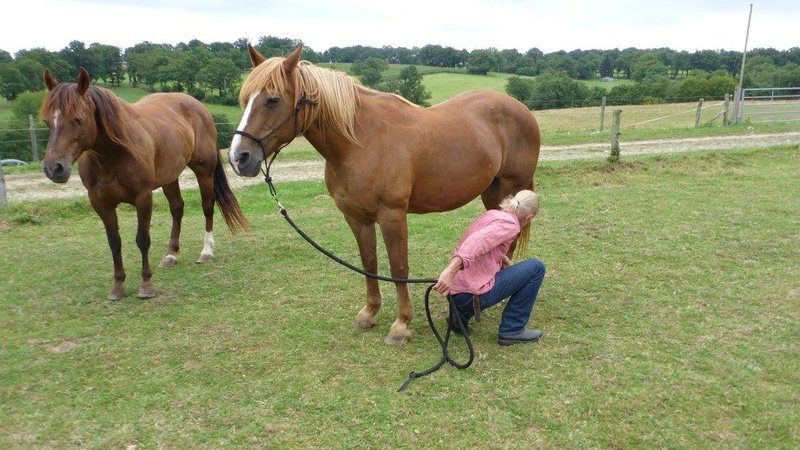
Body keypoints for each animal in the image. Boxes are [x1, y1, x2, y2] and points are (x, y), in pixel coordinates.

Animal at [37, 68, 248, 300]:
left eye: (78, 119)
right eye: (46, 121)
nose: (54, 168)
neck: (112, 154)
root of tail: (197, 105)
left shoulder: (143, 197)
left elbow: (142, 239)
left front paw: (146, 285)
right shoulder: (100, 203)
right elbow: (114, 242)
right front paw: (117, 286)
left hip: (204, 171)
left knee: (207, 206)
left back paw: (206, 251)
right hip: (170, 177)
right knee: (177, 208)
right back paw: (171, 254)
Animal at [228, 44, 540, 344]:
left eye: (272, 100)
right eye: (245, 99)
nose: (239, 158)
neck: (361, 141)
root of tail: (522, 110)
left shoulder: (392, 216)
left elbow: (398, 268)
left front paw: (401, 325)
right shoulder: (357, 218)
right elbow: (369, 263)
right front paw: (369, 313)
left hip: (511, 189)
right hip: (493, 194)